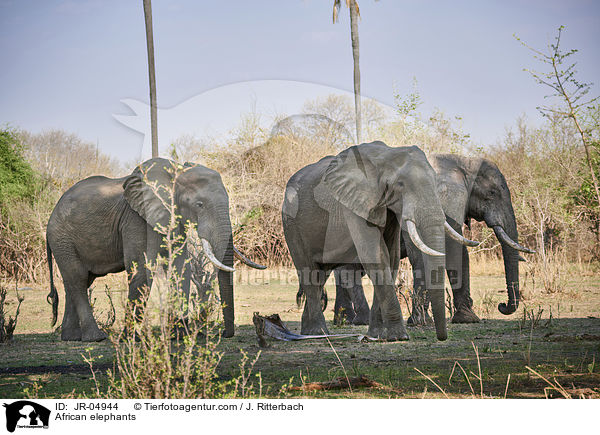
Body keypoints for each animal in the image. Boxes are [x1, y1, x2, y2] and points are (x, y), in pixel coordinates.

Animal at [44, 158, 264, 342]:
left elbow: (180, 268)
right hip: (62, 238)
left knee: (78, 281)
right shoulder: (135, 219)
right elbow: (141, 269)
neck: (175, 171)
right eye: (199, 204)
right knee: (78, 278)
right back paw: (95, 338)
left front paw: (179, 335)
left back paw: (71, 338)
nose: (225, 333)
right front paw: (130, 339)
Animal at [284, 141, 448, 342]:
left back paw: (308, 333)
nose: (442, 337)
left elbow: (391, 258)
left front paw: (377, 336)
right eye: (400, 184)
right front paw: (399, 337)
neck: (386, 155)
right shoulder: (355, 202)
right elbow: (374, 255)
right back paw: (319, 333)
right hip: (291, 223)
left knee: (320, 275)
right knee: (309, 272)